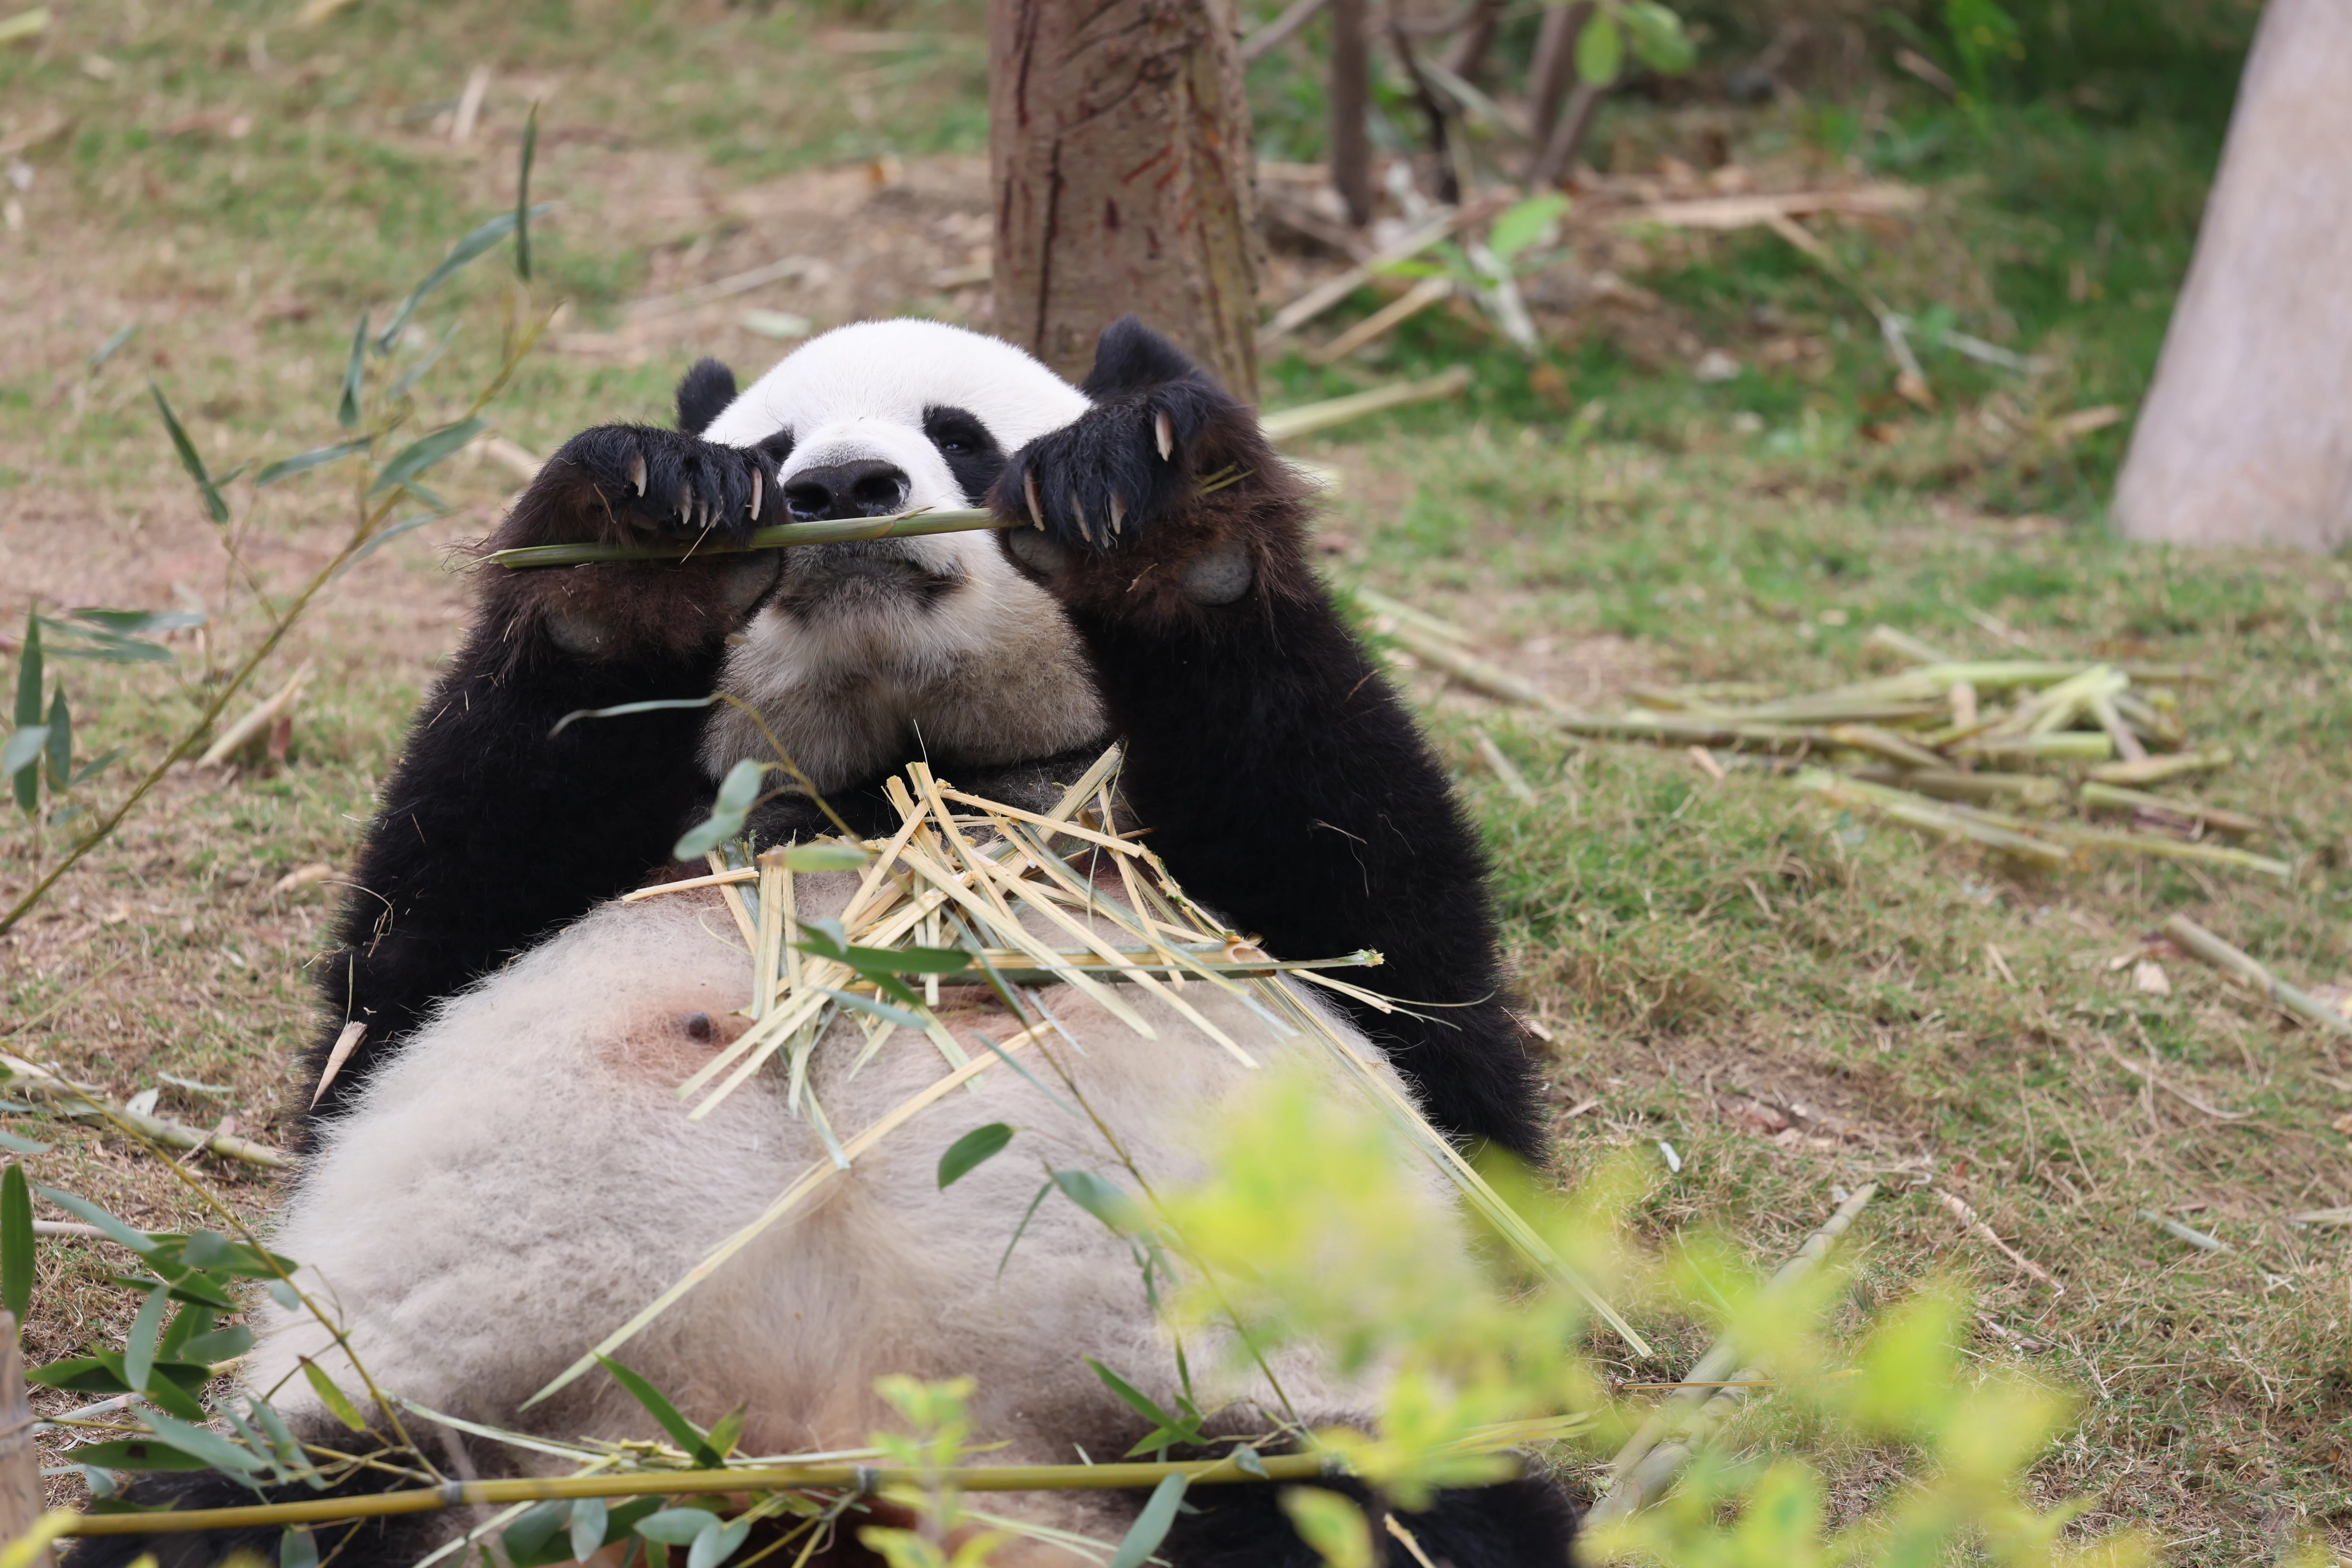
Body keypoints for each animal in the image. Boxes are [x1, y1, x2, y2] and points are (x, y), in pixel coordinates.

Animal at [75, 318, 1574, 1568]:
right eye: (775, 449)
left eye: (961, 434)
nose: (844, 488)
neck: (895, 778)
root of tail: (812, 1459)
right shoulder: (611, 861)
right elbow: (401, 970)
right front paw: (632, 537)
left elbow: (1419, 1003)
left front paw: (1162, 516)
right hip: (413, 1437)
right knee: (234, 1516)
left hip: (1243, 1438)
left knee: (1389, 1520)